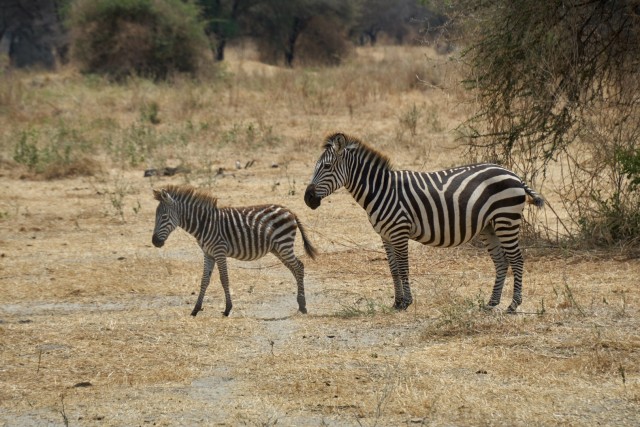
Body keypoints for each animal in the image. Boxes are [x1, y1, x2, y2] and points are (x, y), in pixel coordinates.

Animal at [152, 185, 318, 318]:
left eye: (164, 217)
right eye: (155, 217)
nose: (155, 242)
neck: (204, 224)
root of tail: (289, 210)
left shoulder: (219, 251)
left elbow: (224, 279)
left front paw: (227, 309)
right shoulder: (208, 254)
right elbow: (204, 280)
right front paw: (195, 309)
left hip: (284, 245)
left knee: (299, 267)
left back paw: (303, 306)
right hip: (278, 248)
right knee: (294, 269)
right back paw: (300, 303)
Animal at [302, 132, 544, 312]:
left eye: (326, 167)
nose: (308, 199)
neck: (381, 190)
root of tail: (513, 174)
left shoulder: (399, 232)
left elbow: (403, 268)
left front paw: (407, 302)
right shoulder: (385, 235)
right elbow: (393, 269)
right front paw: (397, 302)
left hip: (506, 220)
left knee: (517, 259)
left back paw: (513, 304)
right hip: (489, 227)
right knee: (501, 262)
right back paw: (491, 303)